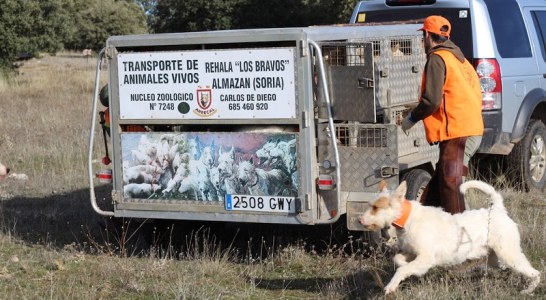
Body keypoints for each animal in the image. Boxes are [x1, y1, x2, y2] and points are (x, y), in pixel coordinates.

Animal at [356, 179, 540, 294]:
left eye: (376, 207)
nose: (359, 220)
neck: (408, 218)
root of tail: (497, 210)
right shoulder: (412, 252)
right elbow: (399, 260)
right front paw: (409, 269)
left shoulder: (426, 258)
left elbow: (402, 270)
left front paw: (391, 286)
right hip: (495, 257)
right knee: (504, 266)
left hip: (509, 255)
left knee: (535, 273)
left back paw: (528, 290)